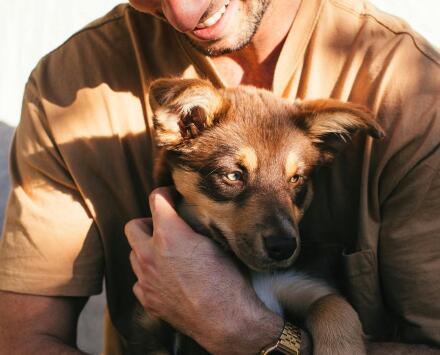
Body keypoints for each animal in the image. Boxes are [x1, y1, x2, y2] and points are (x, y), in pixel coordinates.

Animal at [129, 78, 384, 355]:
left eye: (296, 178)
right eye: (233, 175)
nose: (283, 247)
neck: (252, 274)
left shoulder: (302, 285)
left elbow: (335, 305)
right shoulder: (149, 328)